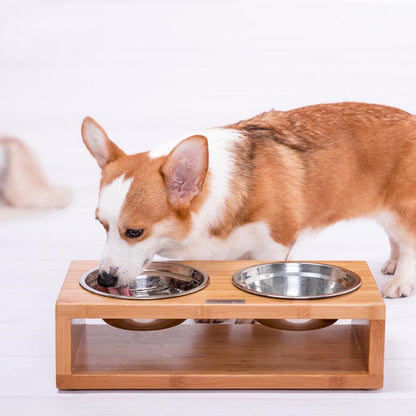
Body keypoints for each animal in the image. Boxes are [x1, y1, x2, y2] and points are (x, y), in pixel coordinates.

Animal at [81, 103, 416, 300]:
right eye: (102, 225)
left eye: (134, 232)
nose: (105, 278)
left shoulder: (274, 245)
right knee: (395, 238)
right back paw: (393, 263)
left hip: (402, 210)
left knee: (409, 242)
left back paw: (401, 281)